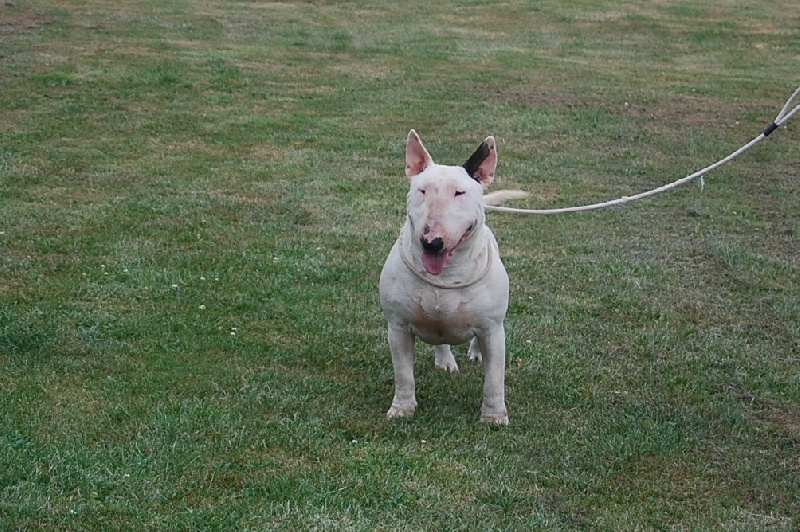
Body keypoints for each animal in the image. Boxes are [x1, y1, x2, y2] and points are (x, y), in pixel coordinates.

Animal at [380, 130, 524, 424]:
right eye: (422, 190)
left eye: (459, 192)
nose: (432, 242)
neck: (446, 274)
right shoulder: (398, 327)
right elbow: (403, 374)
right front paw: (402, 408)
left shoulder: (493, 329)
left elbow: (494, 378)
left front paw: (494, 416)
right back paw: (445, 360)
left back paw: (475, 353)